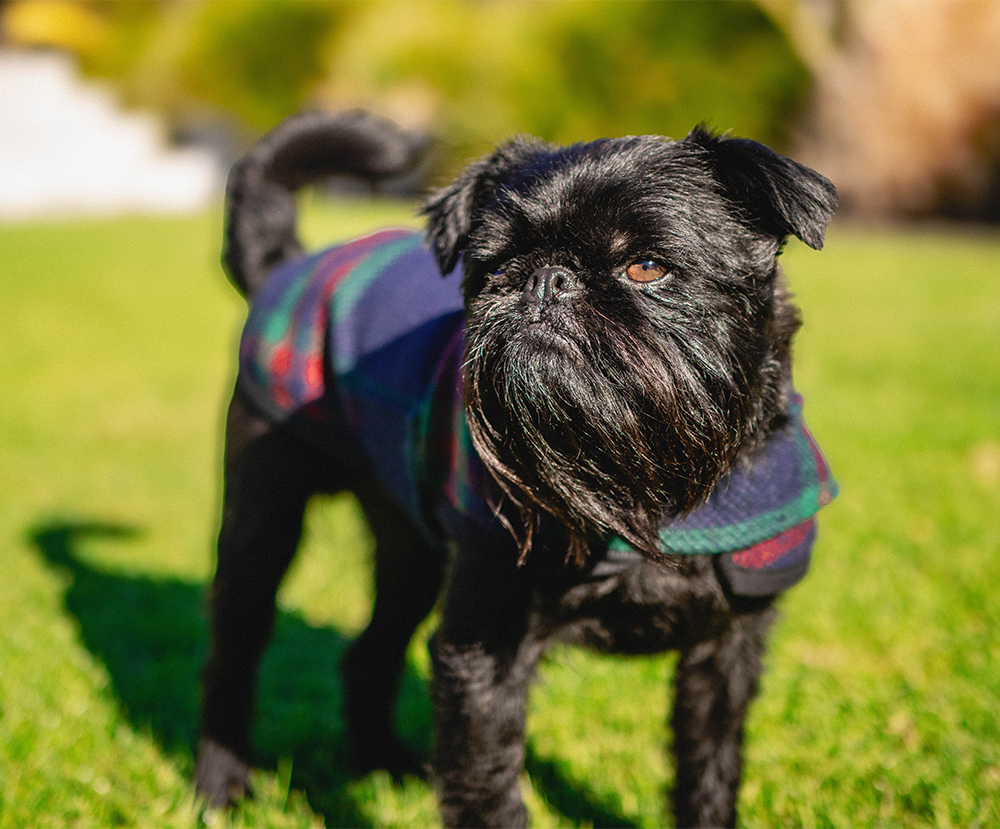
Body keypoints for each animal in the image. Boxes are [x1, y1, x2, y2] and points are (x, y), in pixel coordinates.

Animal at [195, 110, 836, 828]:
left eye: (647, 266)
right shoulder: (486, 646)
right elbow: (487, 787)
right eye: (497, 265)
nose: (546, 279)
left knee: (368, 651)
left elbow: (710, 773)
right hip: (264, 517)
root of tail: (288, 265)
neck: (647, 481)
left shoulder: (726, 654)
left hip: (411, 553)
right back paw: (222, 784)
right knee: (236, 647)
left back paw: (385, 762)